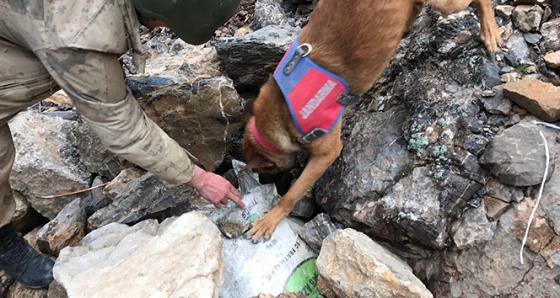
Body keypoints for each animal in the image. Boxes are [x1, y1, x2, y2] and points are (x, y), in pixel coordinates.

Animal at [243, 0, 500, 242]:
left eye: (265, 168)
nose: (266, 183)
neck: (276, 114)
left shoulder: (326, 153)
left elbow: (293, 194)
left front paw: (271, 219)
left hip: (446, 5)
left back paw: (490, 31)